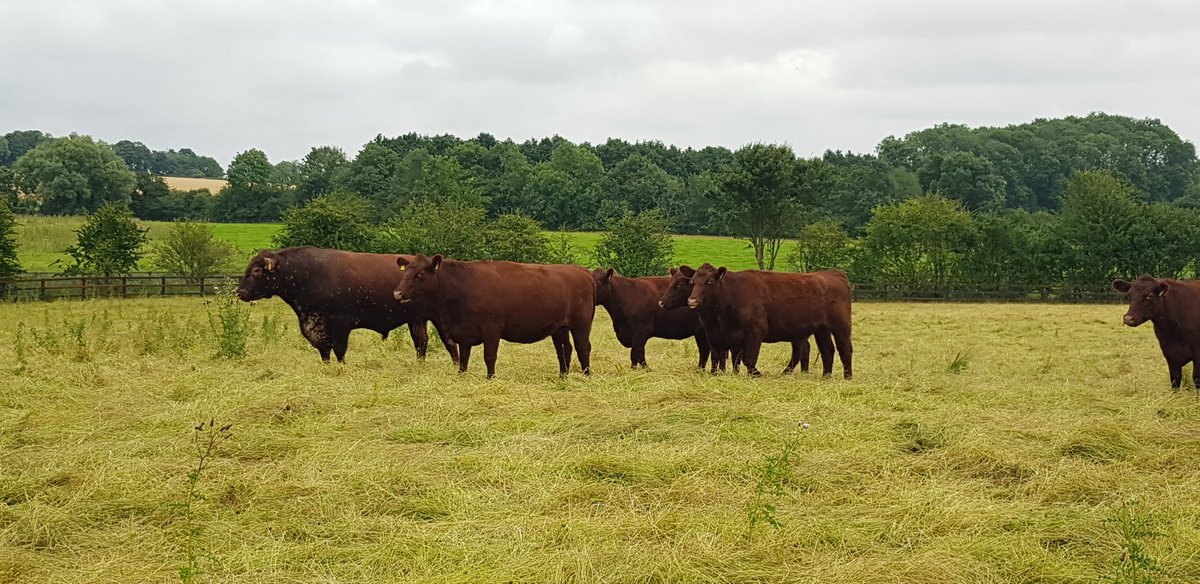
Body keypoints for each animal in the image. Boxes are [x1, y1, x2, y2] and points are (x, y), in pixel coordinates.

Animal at [235, 245, 458, 364]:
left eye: (256, 271)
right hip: (416, 319)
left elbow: (339, 350)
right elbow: (325, 352)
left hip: (438, 318)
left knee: (448, 342)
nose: (239, 291)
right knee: (421, 342)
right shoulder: (317, 327)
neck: (308, 275)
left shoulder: (340, 323)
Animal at [393, 256, 595, 378]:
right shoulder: (464, 333)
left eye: (420, 274)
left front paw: (490, 378)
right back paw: (563, 376)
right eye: (405, 272)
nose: (397, 292)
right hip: (559, 328)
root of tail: (582, 271)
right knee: (564, 350)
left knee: (583, 347)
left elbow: (489, 356)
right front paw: (461, 375)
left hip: (581, 324)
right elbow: (464, 357)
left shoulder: (491, 328)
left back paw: (586, 375)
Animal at [681, 265, 849, 378]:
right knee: (826, 350)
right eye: (692, 281)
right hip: (821, 329)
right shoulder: (732, 336)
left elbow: (748, 359)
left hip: (841, 326)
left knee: (845, 348)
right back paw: (825, 376)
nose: (692, 301)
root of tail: (834, 274)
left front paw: (756, 374)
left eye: (709, 281)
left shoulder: (756, 331)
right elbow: (736, 358)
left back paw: (847, 377)